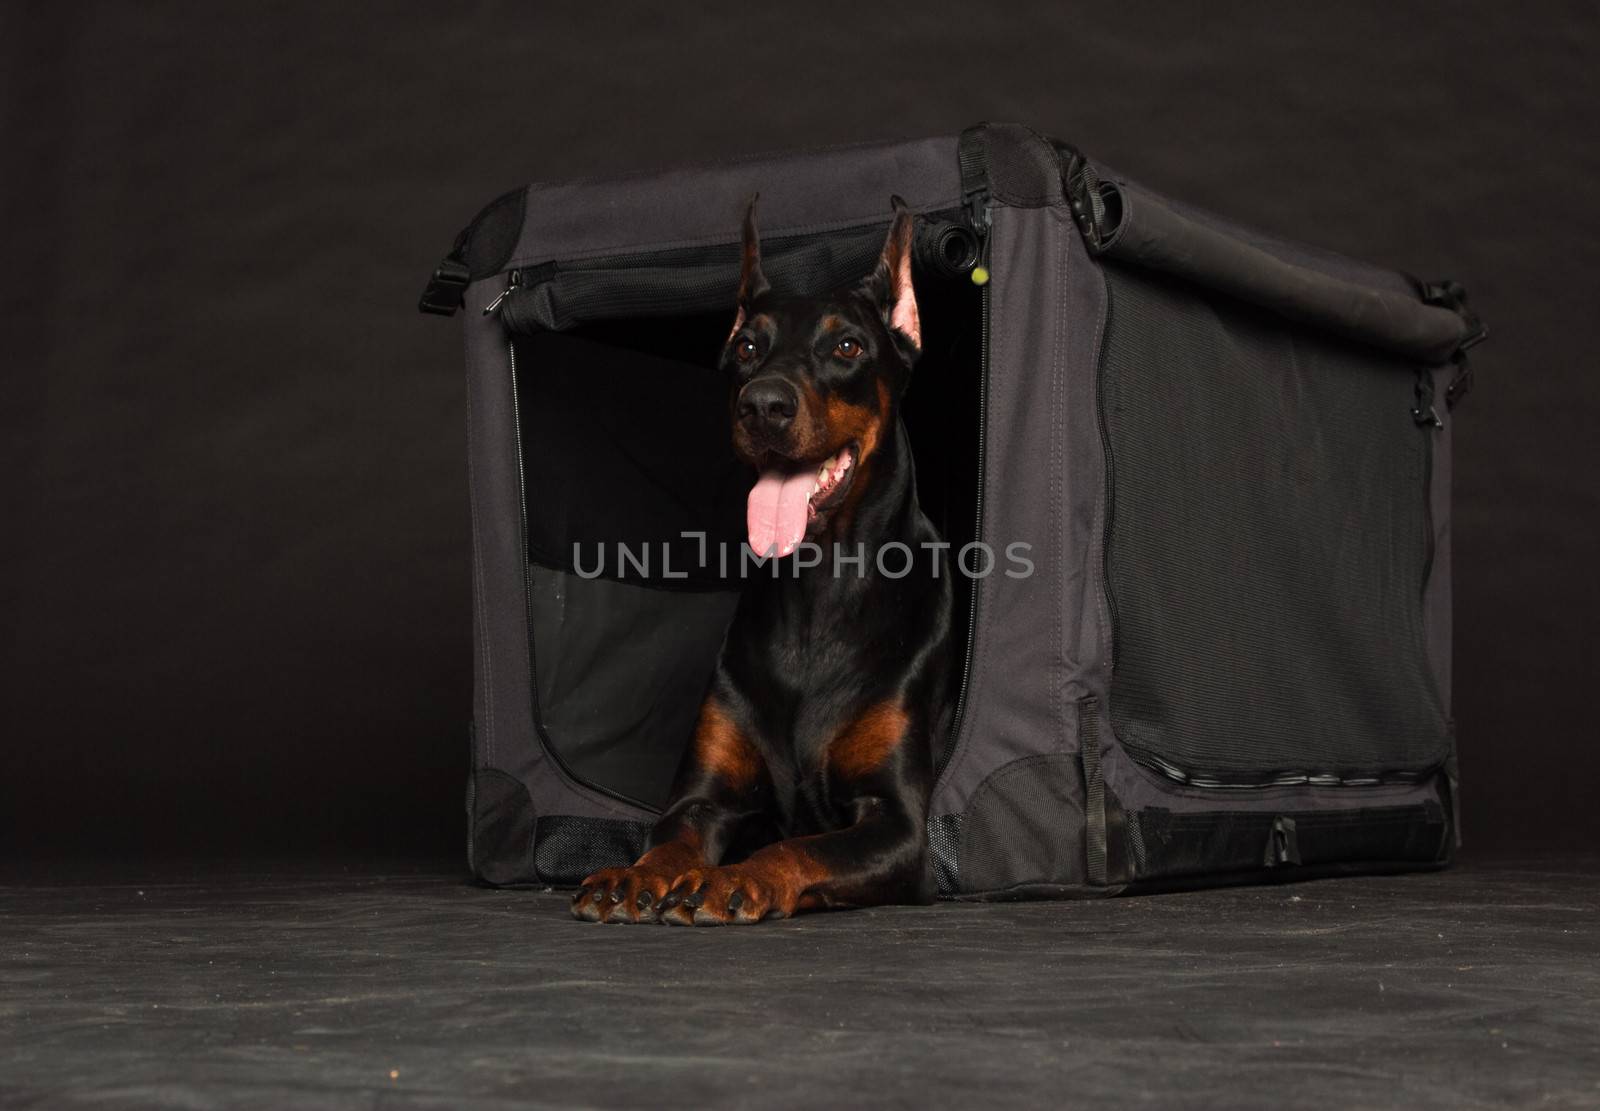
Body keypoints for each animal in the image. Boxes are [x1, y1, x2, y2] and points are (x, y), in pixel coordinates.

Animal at [576, 196, 947, 928]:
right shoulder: (703, 798)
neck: (819, 591)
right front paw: (635, 875)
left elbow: (799, 845)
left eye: (848, 346)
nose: (764, 405)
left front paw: (731, 879)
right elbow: (671, 839)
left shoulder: (897, 823)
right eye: (749, 347)